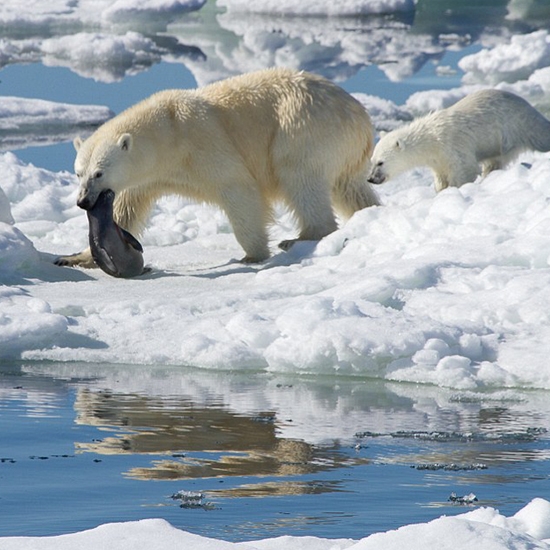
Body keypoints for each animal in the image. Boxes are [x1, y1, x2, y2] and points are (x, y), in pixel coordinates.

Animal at [58, 68, 382, 268]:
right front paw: (75, 256)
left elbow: (239, 189)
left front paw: (251, 255)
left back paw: (299, 238)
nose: (83, 201)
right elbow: (128, 205)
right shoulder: (149, 174)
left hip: (302, 129)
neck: (169, 133)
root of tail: (361, 117)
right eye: (79, 173)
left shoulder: (204, 144)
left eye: (99, 173)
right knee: (349, 188)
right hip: (345, 153)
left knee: (300, 178)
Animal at [368, 89, 550, 193]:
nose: (371, 179)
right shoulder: (437, 159)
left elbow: (465, 169)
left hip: (521, 125)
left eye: (381, 162)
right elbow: (440, 177)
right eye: (372, 160)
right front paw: (440, 190)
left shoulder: (452, 145)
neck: (431, 140)